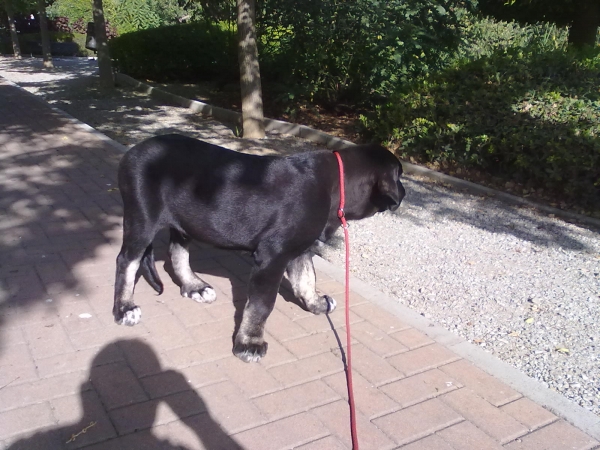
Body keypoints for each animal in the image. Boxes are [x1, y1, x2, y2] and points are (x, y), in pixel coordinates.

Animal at [113, 134, 404, 362]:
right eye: (400, 175)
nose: (403, 191)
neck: (337, 186)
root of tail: (131, 152)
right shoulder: (272, 257)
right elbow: (262, 304)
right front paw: (249, 343)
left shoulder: (299, 249)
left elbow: (306, 277)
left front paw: (316, 303)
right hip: (142, 218)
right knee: (127, 261)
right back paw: (125, 308)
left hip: (186, 221)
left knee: (177, 252)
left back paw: (194, 287)